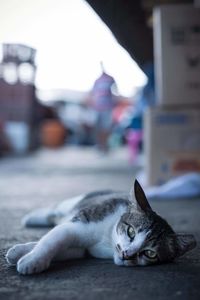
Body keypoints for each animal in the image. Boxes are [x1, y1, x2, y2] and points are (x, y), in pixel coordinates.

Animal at [5, 179, 196, 276]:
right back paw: (31, 217)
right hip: (77, 201)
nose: (127, 255)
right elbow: (52, 240)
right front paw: (32, 260)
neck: (108, 237)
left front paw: (21, 252)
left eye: (150, 253)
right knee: (55, 210)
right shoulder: (79, 223)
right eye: (131, 231)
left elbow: (60, 247)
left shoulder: (82, 250)